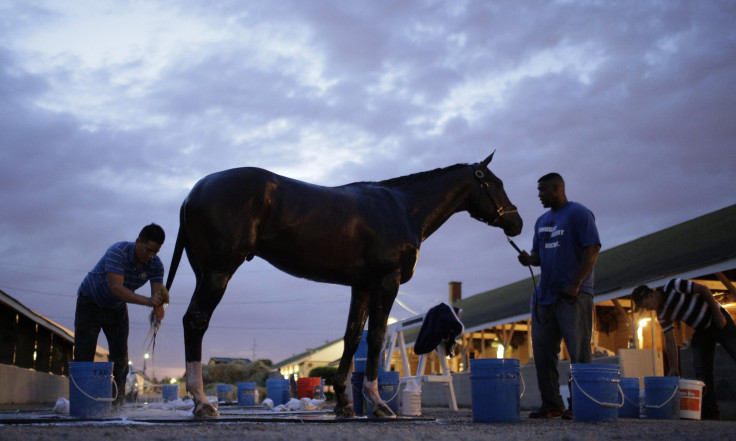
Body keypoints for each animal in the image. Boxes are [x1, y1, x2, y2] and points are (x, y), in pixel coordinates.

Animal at [167, 151, 524, 416]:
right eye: (495, 183)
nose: (517, 223)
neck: (402, 208)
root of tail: (193, 192)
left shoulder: (361, 286)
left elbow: (352, 339)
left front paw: (343, 403)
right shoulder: (386, 283)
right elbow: (377, 338)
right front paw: (378, 404)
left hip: (206, 273)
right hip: (218, 272)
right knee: (196, 321)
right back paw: (202, 403)